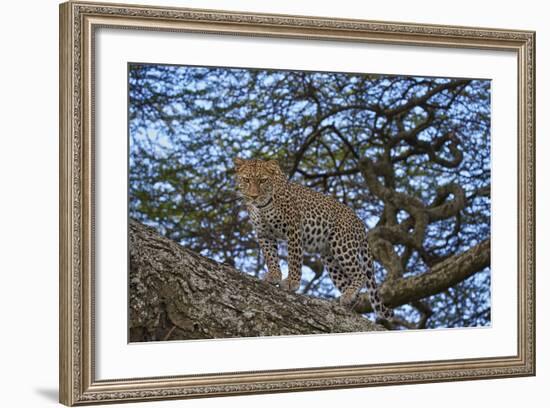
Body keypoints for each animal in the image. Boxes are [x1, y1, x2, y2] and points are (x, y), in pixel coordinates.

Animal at [235, 158, 394, 320]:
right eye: (246, 180)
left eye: (263, 180)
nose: (253, 196)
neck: (262, 206)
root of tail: (360, 223)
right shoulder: (264, 234)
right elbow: (270, 256)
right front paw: (274, 275)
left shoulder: (293, 229)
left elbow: (294, 259)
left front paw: (292, 282)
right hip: (329, 258)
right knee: (348, 281)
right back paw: (348, 302)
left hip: (342, 244)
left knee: (360, 273)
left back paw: (348, 295)